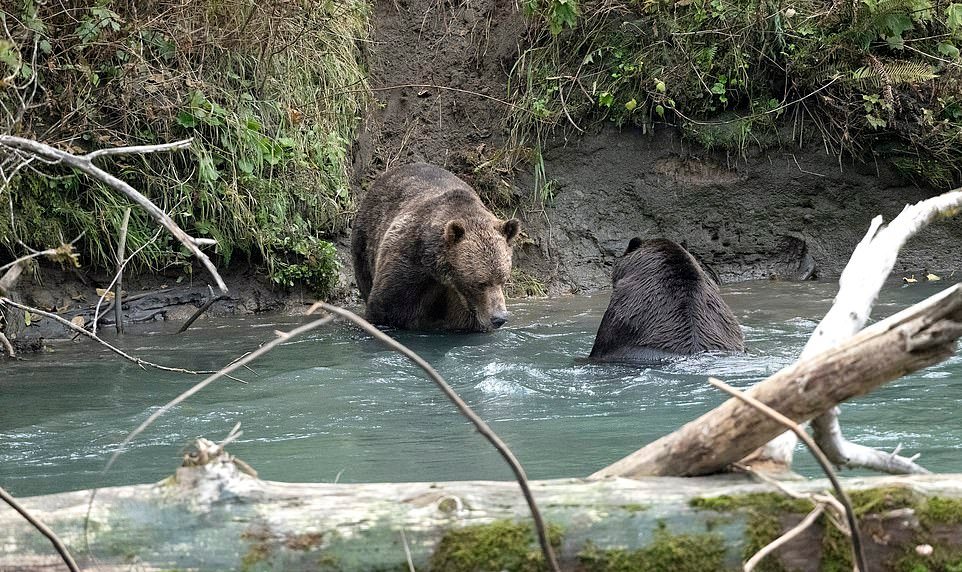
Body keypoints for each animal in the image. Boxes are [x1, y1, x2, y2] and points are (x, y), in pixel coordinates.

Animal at [350, 162, 520, 330]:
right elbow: (386, 307)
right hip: (365, 239)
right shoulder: (409, 263)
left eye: (503, 279)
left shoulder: (461, 304)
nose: (499, 318)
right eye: (480, 283)